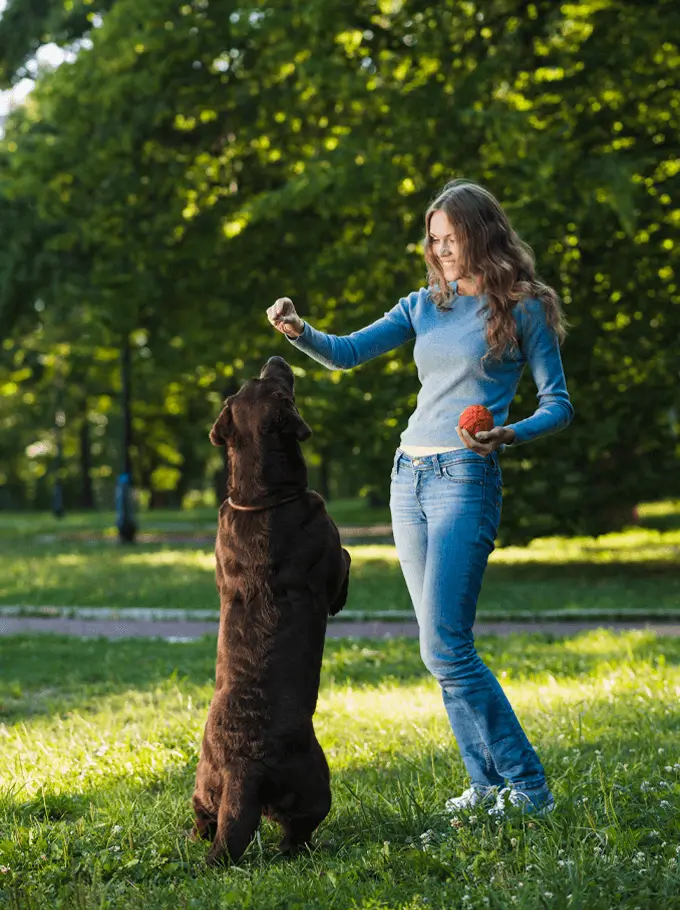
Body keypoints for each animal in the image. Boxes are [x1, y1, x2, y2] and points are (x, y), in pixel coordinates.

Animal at [191, 352, 350, 864]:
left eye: (247, 383)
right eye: (274, 382)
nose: (278, 356)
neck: (260, 498)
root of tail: (242, 769)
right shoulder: (331, 560)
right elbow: (344, 561)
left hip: (204, 783)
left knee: (205, 819)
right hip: (314, 784)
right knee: (294, 835)